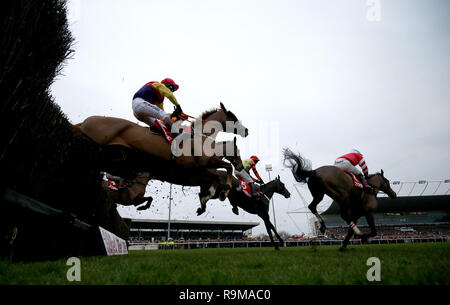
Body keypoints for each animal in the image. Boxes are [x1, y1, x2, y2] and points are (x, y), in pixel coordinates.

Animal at [74, 102, 250, 202]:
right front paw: (224, 190)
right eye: (233, 117)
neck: (201, 136)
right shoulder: (201, 164)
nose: (246, 130)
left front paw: (212, 194)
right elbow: (226, 168)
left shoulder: (201, 168)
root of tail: (84, 122)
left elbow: (218, 175)